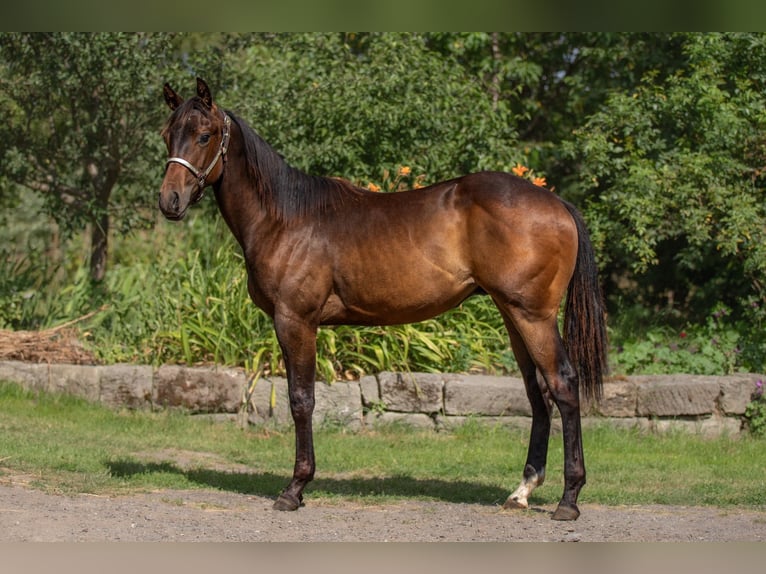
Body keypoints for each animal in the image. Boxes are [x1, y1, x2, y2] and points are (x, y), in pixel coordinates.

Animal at [158, 78, 608, 521]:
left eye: (204, 135)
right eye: (167, 135)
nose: (169, 201)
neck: (284, 218)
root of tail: (557, 203)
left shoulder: (295, 321)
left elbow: (301, 400)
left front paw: (294, 489)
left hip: (533, 316)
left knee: (563, 385)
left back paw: (569, 500)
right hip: (513, 315)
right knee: (537, 393)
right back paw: (522, 491)